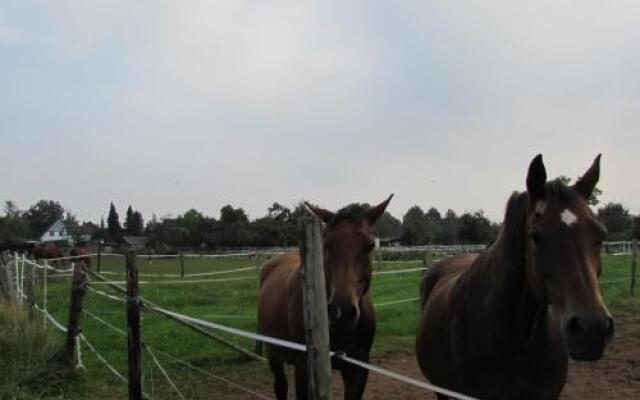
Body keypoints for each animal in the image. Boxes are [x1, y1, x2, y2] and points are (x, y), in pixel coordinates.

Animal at [258, 197, 392, 400]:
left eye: (369, 245)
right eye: (326, 244)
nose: (341, 312)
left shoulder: (358, 369)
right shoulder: (303, 368)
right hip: (274, 353)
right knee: (280, 386)